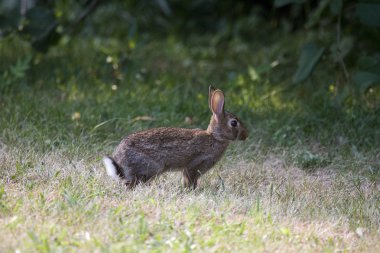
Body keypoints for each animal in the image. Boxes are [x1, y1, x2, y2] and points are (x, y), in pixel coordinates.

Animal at [102, 86, 248, 189]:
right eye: (234, 123)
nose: (245, 135)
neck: (214, 137)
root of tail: (120, 162)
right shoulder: (194, 164)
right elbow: (189, 179)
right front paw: (191, 191)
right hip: (151, 167)